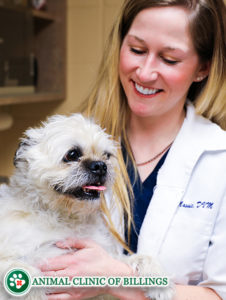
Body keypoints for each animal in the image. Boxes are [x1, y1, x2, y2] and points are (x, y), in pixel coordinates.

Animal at [0, 113, 174, 298]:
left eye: (106, 155)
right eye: (72, 154)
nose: (101, 166)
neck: (65, 217)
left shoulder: (105, 256)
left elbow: (139, 258)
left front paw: (158, 279)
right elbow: (25, 272)